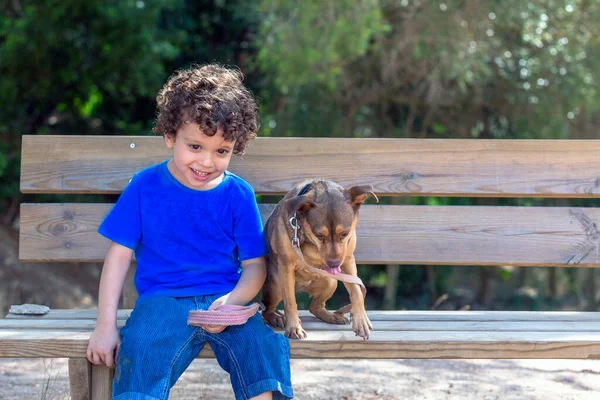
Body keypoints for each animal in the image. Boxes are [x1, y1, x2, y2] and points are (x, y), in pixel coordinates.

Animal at [260, 180, 378, 340]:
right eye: (319, 235)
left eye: (345, 233)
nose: (334, 264)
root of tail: (301, 287)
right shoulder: (286, 265)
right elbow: (290, 302)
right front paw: (294, 327)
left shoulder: (348, 260)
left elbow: (357, 292)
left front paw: (361, 320)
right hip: (277, 283)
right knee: (267, 309)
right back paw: (277, 317)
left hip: (331, 281)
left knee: (315, 307)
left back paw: (332, 316)